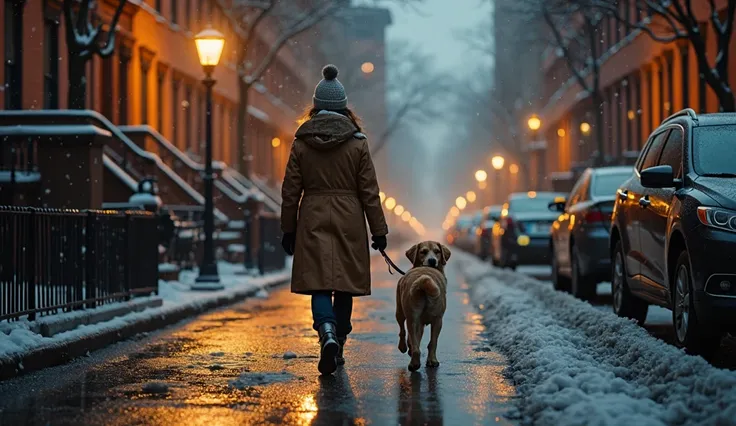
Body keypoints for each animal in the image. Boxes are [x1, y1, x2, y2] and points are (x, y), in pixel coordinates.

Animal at [396, 241, 448, 372]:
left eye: (437, 251)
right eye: (423, 252)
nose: (432, 260)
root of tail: (423, 281)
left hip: (409, 316)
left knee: (413, 340)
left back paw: (414, 359)